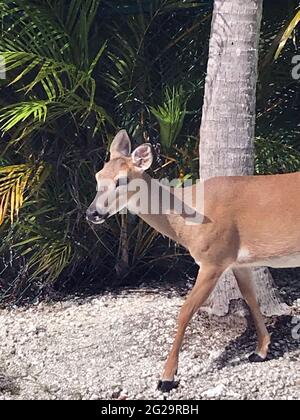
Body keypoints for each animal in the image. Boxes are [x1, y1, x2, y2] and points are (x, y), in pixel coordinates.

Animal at [85, 130, 296, 392]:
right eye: (98, 176)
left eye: (121, 180)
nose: (92, 213)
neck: (189, 217)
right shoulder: (237, 261)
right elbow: (251, 299)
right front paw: (260, 351)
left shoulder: (213, 258)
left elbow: (185, 311)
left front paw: (166, 378)